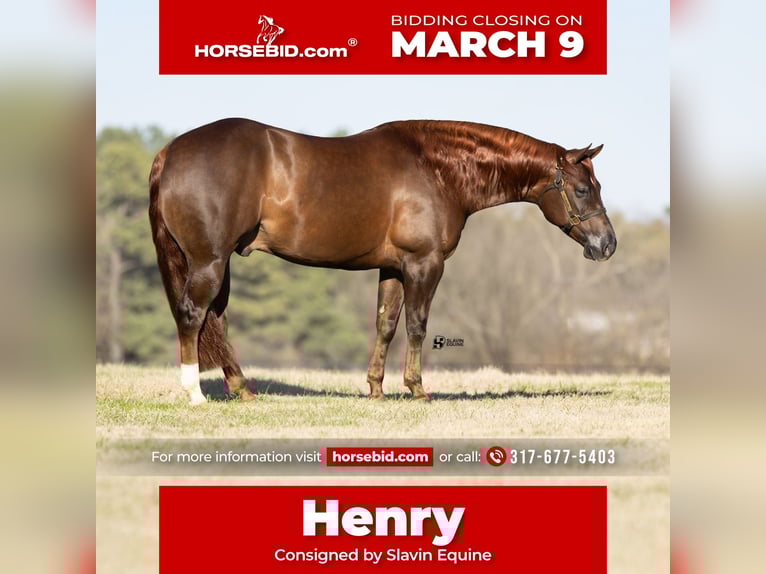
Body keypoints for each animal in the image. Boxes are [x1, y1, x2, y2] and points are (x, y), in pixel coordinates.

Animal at [149, 119, 616, 405]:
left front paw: (376, 389)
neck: (436, 169)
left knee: (216, 319)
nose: (607, 244)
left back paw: (243, 390)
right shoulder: (424, 264)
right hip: (209, 261)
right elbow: (416, 325)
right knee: (193, 314)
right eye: (582, 189)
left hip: (218, 263)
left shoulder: (393, 267)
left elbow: (386, 324)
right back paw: (195, 393)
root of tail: (170, 152)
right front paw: (417, 389)